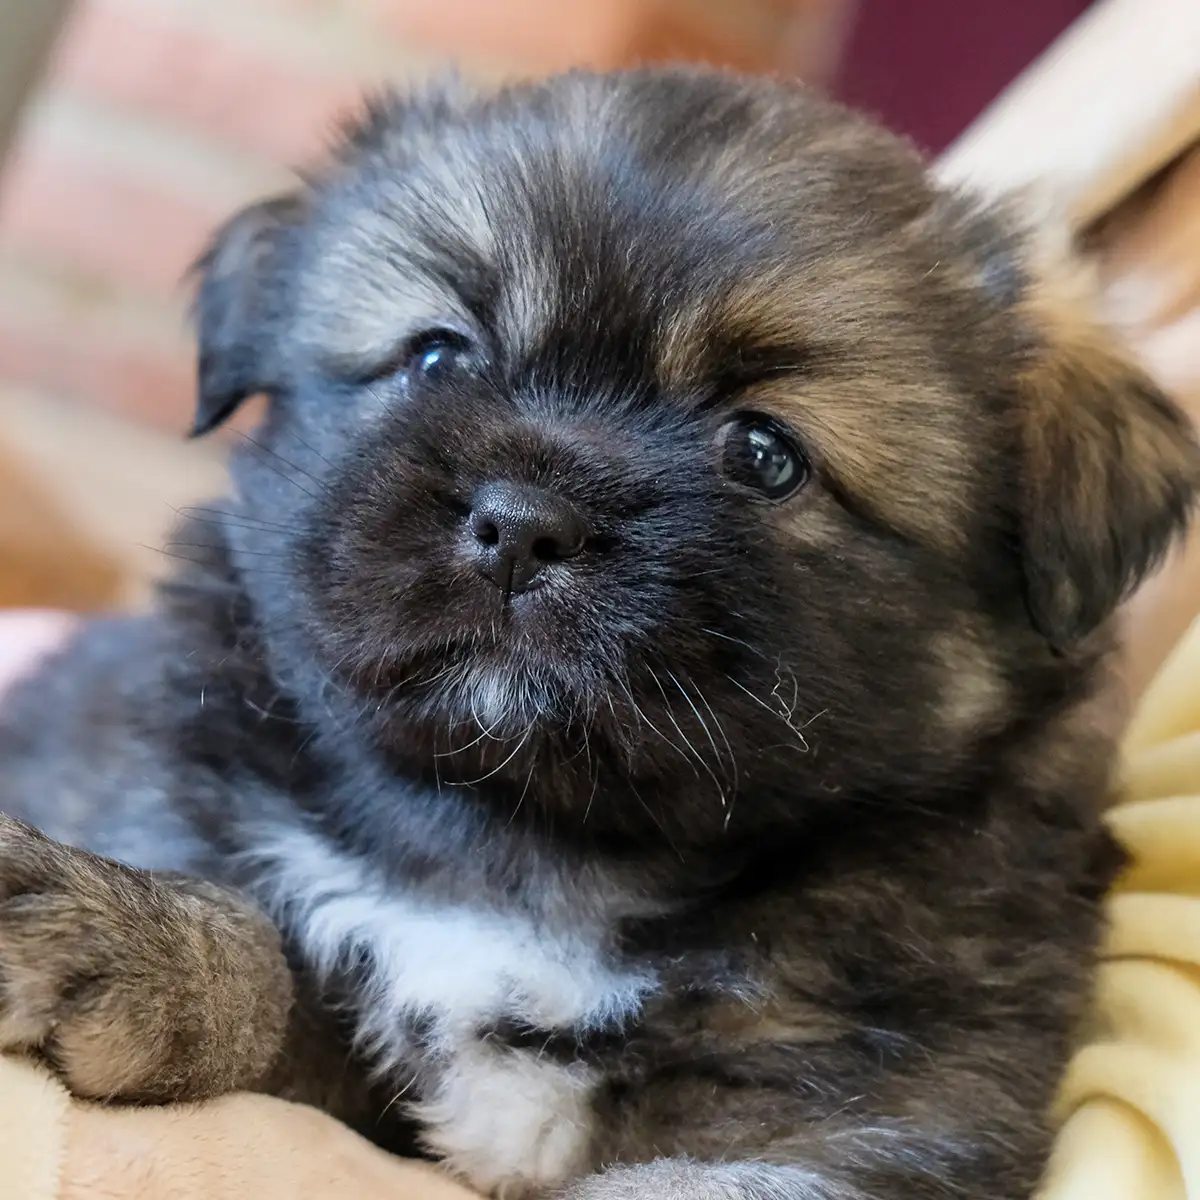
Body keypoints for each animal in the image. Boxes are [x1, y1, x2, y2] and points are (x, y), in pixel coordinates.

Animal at [2, 68, 1200, 1200]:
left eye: (764, 454)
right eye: (439, 358)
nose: (523, 525)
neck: (537, 852)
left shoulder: (866, 1121)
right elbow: (281, 965)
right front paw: (133, 942)